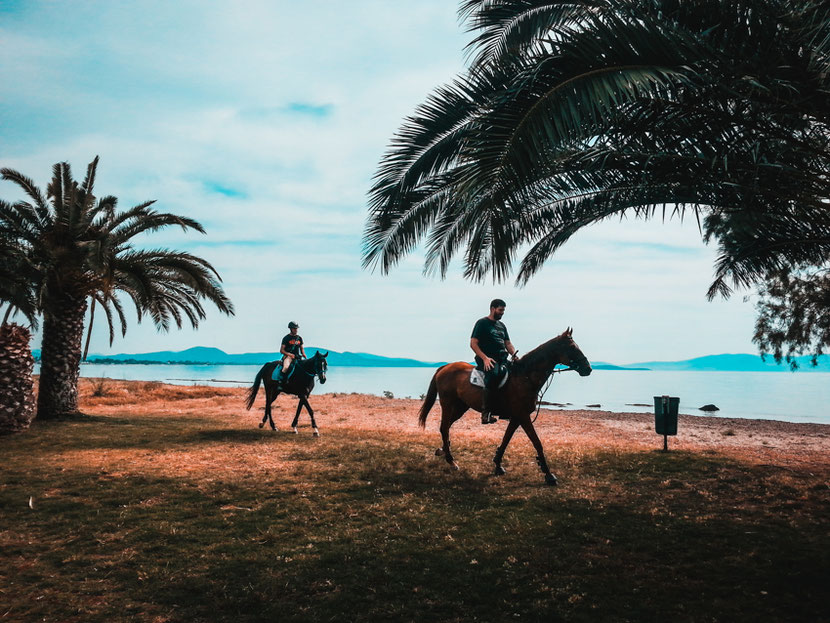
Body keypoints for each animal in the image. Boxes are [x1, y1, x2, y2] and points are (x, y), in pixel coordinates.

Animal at [422, 330, 592, 486]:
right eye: (572, 347)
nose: (588, 369)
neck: (525, 377)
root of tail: (444, 367)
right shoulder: (523, 416)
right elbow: (537, 442)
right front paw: (548, 475)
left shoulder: (517, 417)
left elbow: (506, 439)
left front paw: (498, 465)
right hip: (449, 405)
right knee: (444, 428)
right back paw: (451, 461)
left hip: (460, 407)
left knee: (446, 427)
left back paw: (443, 451)